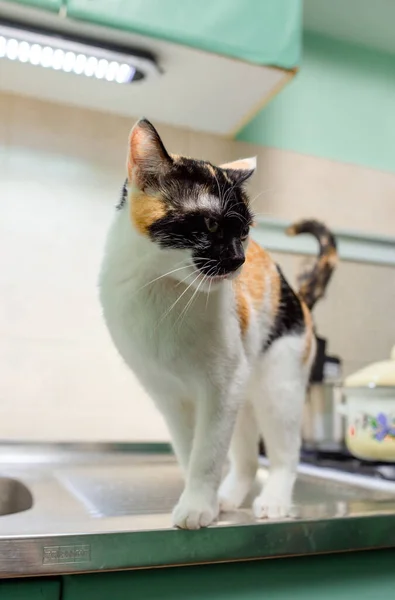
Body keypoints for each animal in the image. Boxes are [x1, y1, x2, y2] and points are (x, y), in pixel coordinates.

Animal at [99, 118, 338, 528]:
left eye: (244, 232)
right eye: (210, 225)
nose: (240, 259)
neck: (161, 288)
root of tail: (298, 298)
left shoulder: (222, 388)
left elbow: (207, 454)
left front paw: (197, 505)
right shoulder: (168, 396)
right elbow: (188, 451)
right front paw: (203, 499)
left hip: (276, 386)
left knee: (285, 453)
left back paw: (274, 499)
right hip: (243, 396)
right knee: (246, 460)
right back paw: (228, 497)